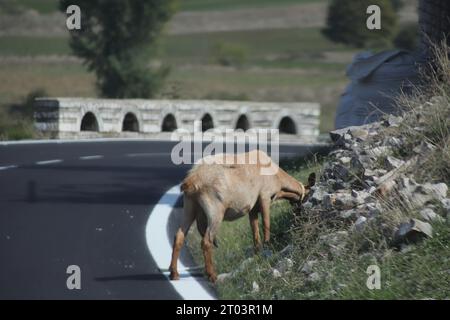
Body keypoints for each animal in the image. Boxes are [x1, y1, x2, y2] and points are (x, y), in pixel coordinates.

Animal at [168, 150, 312, 282]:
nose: (299, 216)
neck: (279, 179)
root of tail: (191, 180)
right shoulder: (265, 197)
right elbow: (266, 224)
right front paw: (268, 245)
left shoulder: (252, 208)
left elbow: (255, 231)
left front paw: (258, 251)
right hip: (215, 210)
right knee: (206, 241)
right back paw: (212, 275)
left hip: (190, 207)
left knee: (179, 236)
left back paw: (174, 273)